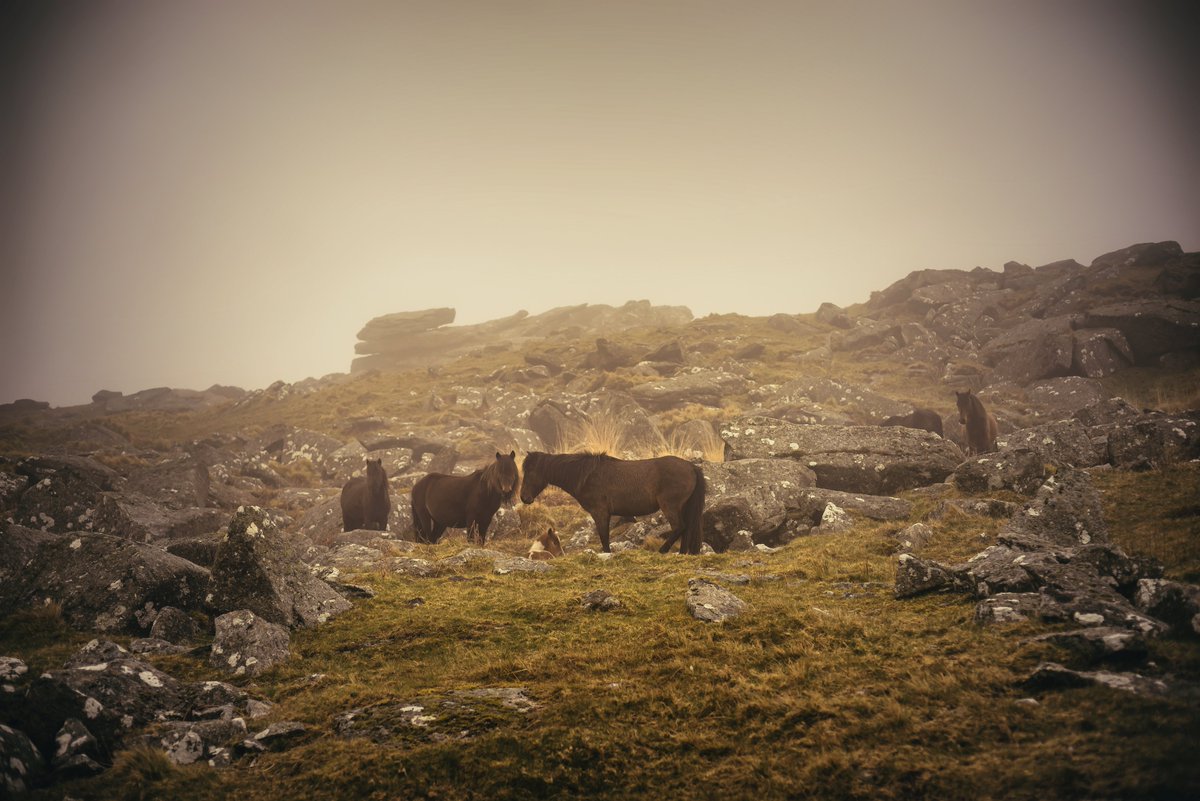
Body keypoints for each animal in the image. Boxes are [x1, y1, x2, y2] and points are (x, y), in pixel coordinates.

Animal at [519, 451, 705, 554]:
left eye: (529, 471)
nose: (524, 498)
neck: (586, 476)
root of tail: (691, 467)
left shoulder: (600, 512)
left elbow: (604, 537)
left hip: (670, 506)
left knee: (679, 527)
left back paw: (663, 550)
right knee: (686, 529)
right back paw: (681, 553)